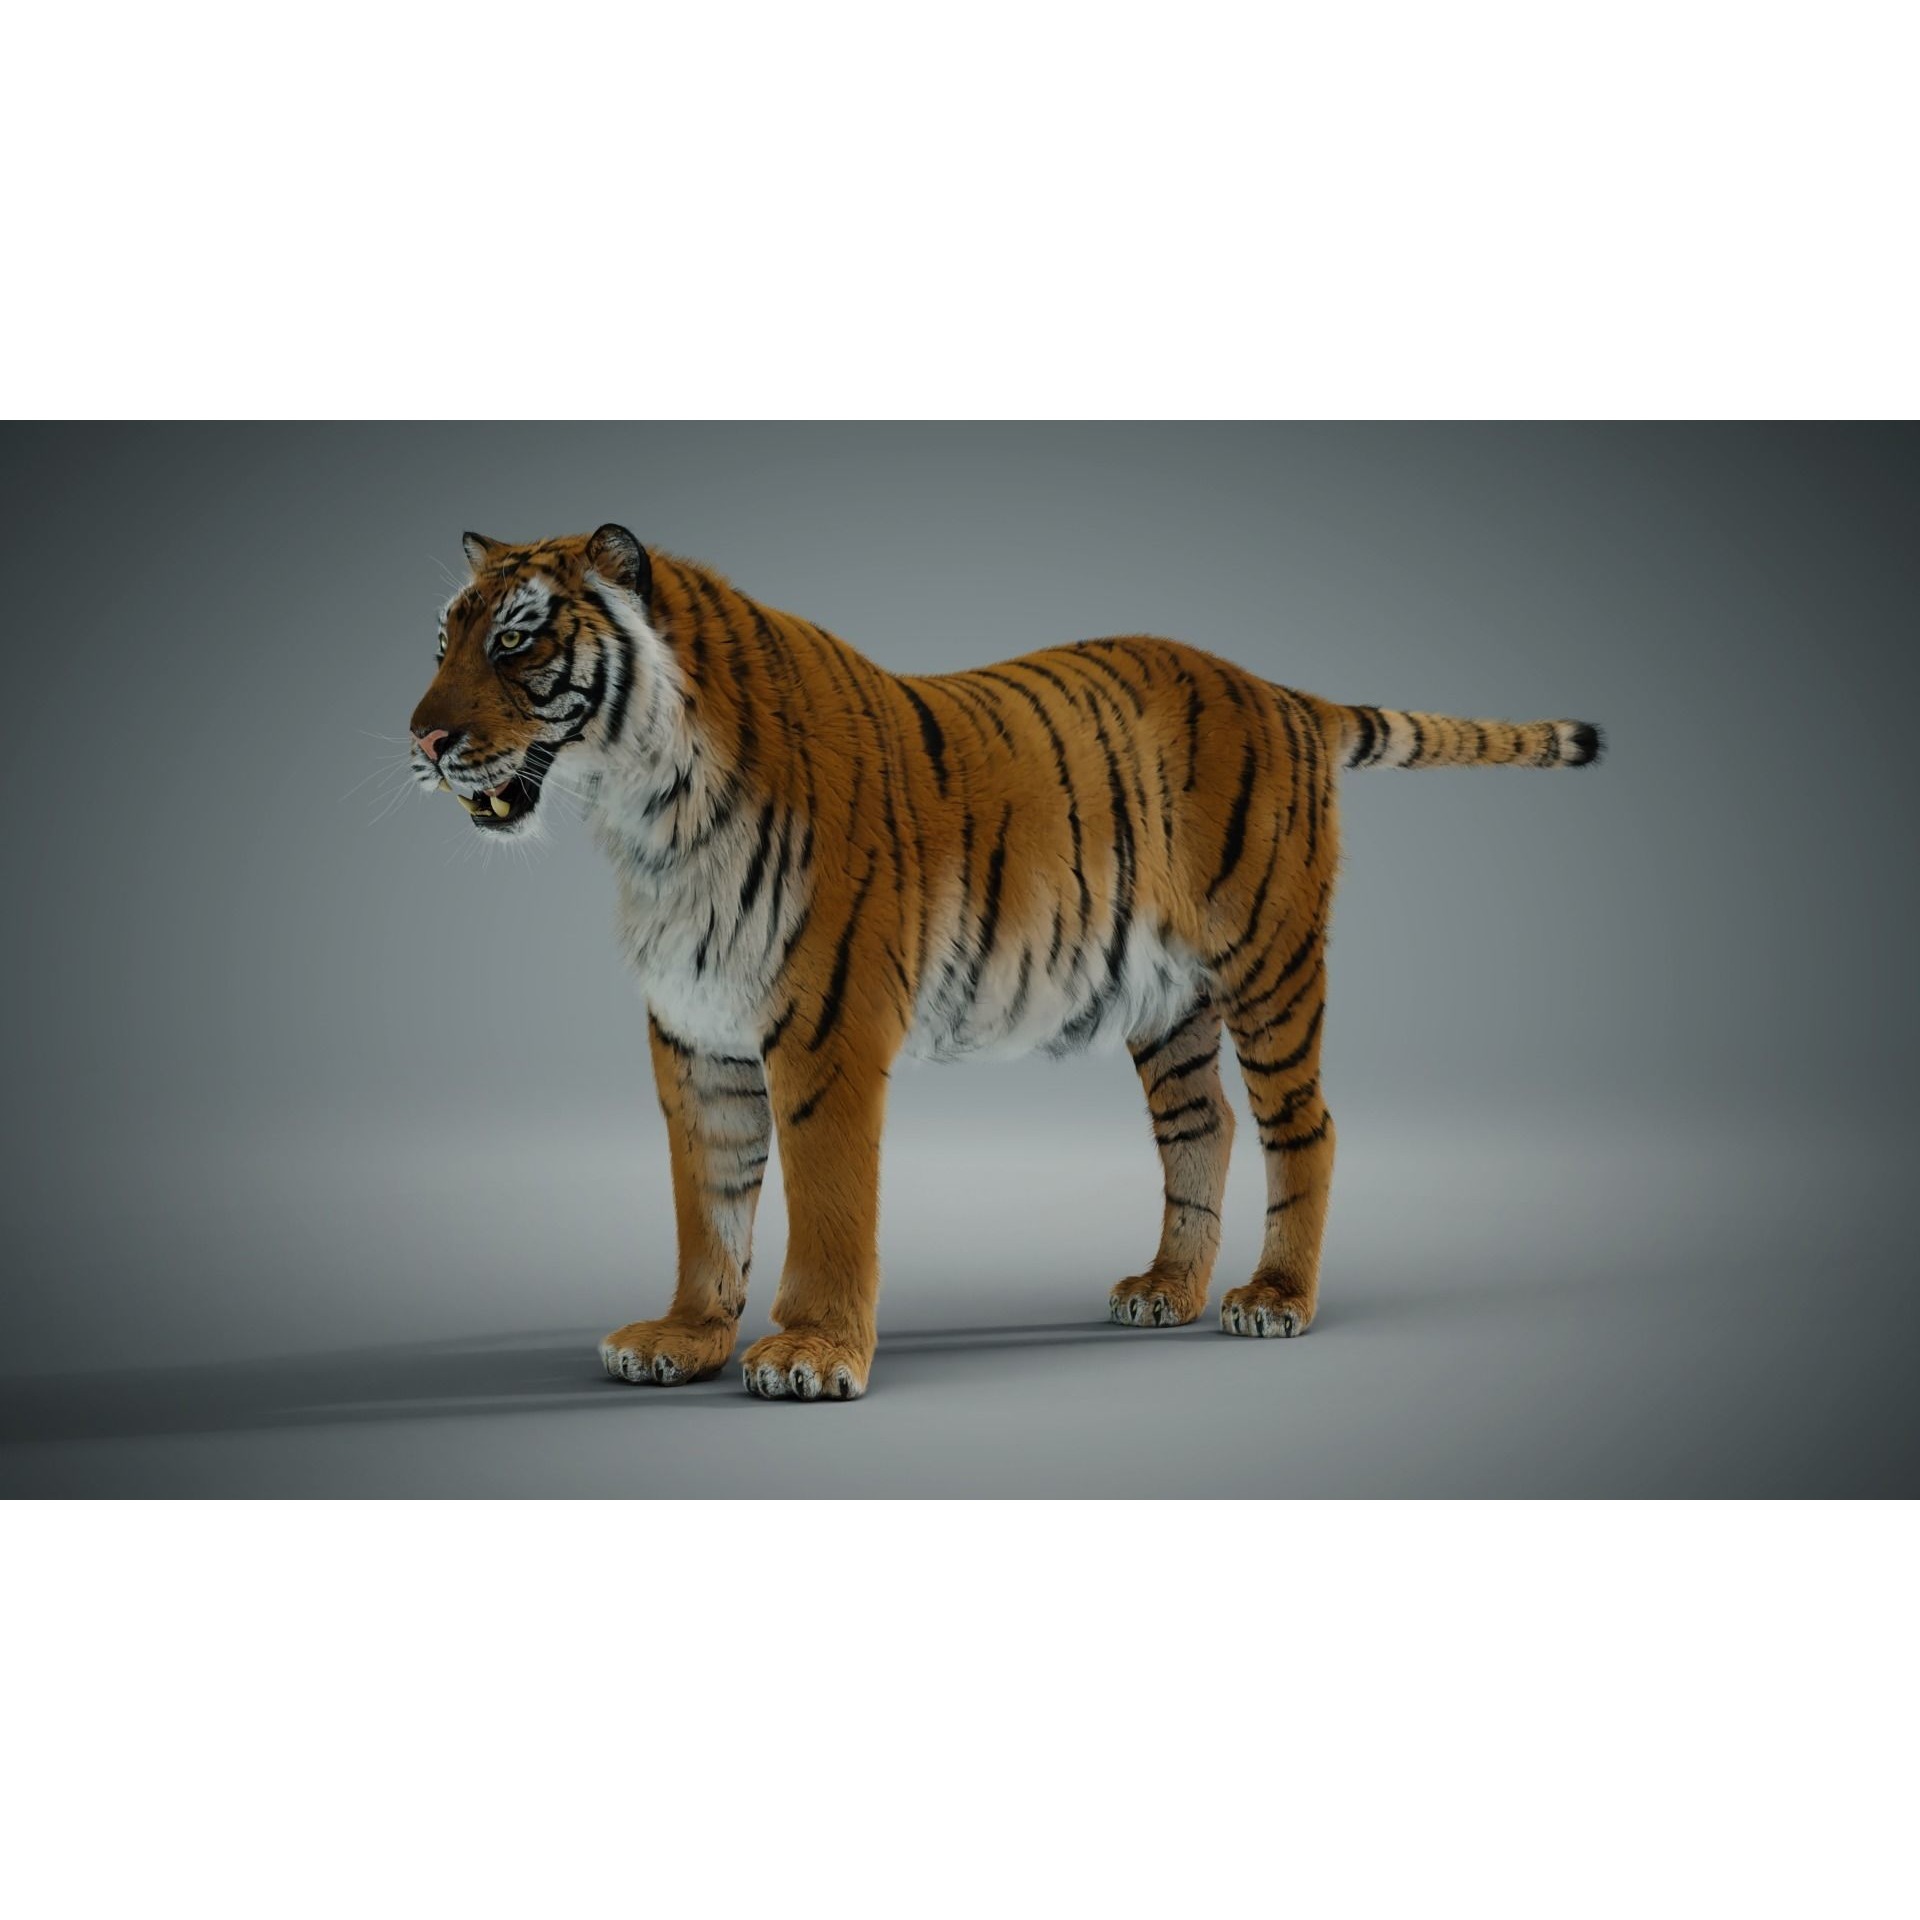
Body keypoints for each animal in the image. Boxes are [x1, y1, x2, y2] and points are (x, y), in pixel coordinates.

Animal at [407, 524, 1603, 1401]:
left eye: (516, 642)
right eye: (442, 643)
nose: (419, 739)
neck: (645, 814)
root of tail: (1276, 690)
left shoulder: (825, 1029)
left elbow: (829, 1204)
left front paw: (812, 1356)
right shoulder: (695, 1036)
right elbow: (708, 1201)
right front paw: (685, 1338)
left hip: (1271, 965)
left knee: (1305, 1125)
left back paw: (1275, 1298)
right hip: (1169, 1006)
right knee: (1203, 1127)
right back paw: (1166, 1288)